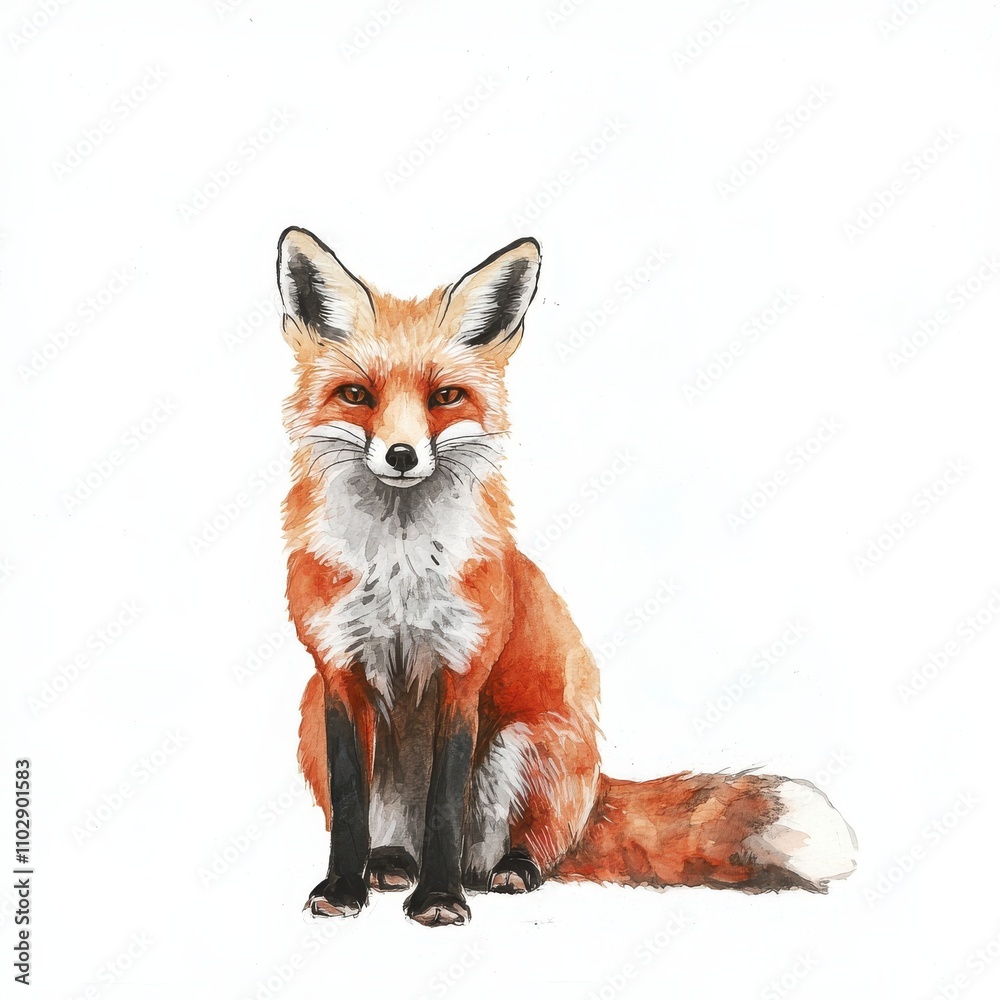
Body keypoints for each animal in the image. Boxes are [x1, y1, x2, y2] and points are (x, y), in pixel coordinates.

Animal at [277, 227, 857, 927]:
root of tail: (596, 788)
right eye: (356, 395)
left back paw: (504, 871)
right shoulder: (337, 672)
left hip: (524, 743)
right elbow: (349, 807)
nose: (402, 455)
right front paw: (343, 889)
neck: (399, 567)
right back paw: (389, 864)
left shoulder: (463, 673)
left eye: (445, 396)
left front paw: (440, 900)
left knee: (517, 852)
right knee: (392, 832)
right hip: (311, 715)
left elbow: (444, 809)